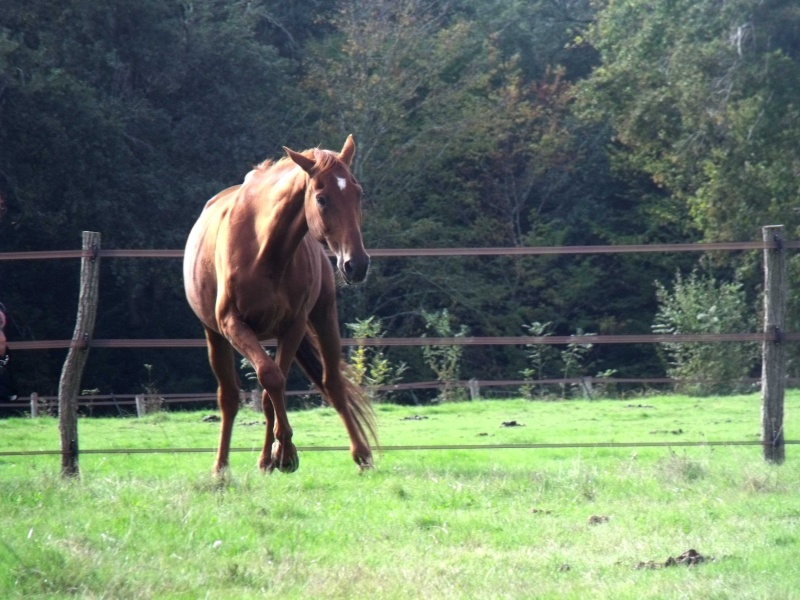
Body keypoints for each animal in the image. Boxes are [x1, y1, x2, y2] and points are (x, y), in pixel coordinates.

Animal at [184, 136, 376, 474]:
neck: (263, 249)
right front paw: (283, 453)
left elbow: (273, 386)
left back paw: (359, 454)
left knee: (332, 384)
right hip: (214, 335)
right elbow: (269, 378)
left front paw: (282, 453)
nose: (357, 265)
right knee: (229, 398)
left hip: (323, 316)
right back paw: (221, 468)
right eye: (321, 198)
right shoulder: (231, 324)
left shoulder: (293, 326)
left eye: (358, 192)